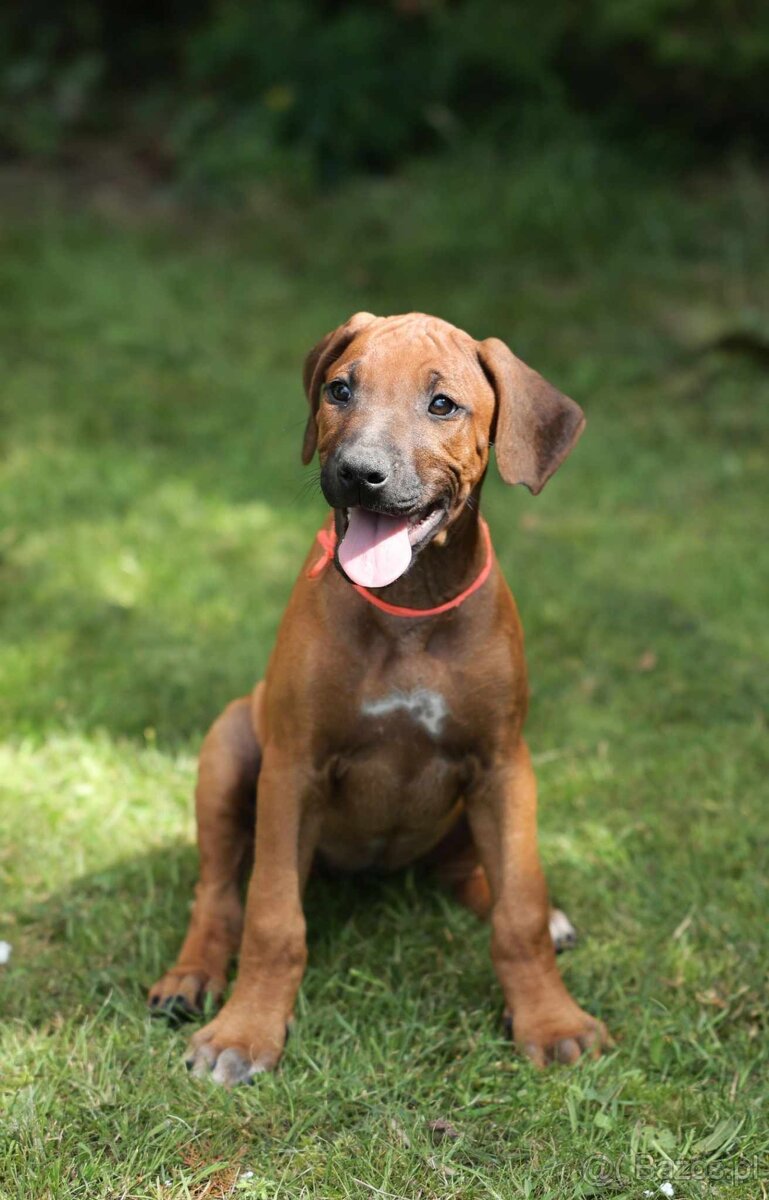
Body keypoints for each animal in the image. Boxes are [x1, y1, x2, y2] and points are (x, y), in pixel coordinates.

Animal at [146, 309, 609, 1089]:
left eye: (442, 404)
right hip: (230, 743)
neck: (408, 607)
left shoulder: (503, 765)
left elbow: (518, 909)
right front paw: (246, 1030)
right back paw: (191, 976)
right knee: (218, 892)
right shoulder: (293, 768)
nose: (357, 474)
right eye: (340, 389)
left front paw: (552, 1021)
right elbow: (272, 917)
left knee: (472, 875)